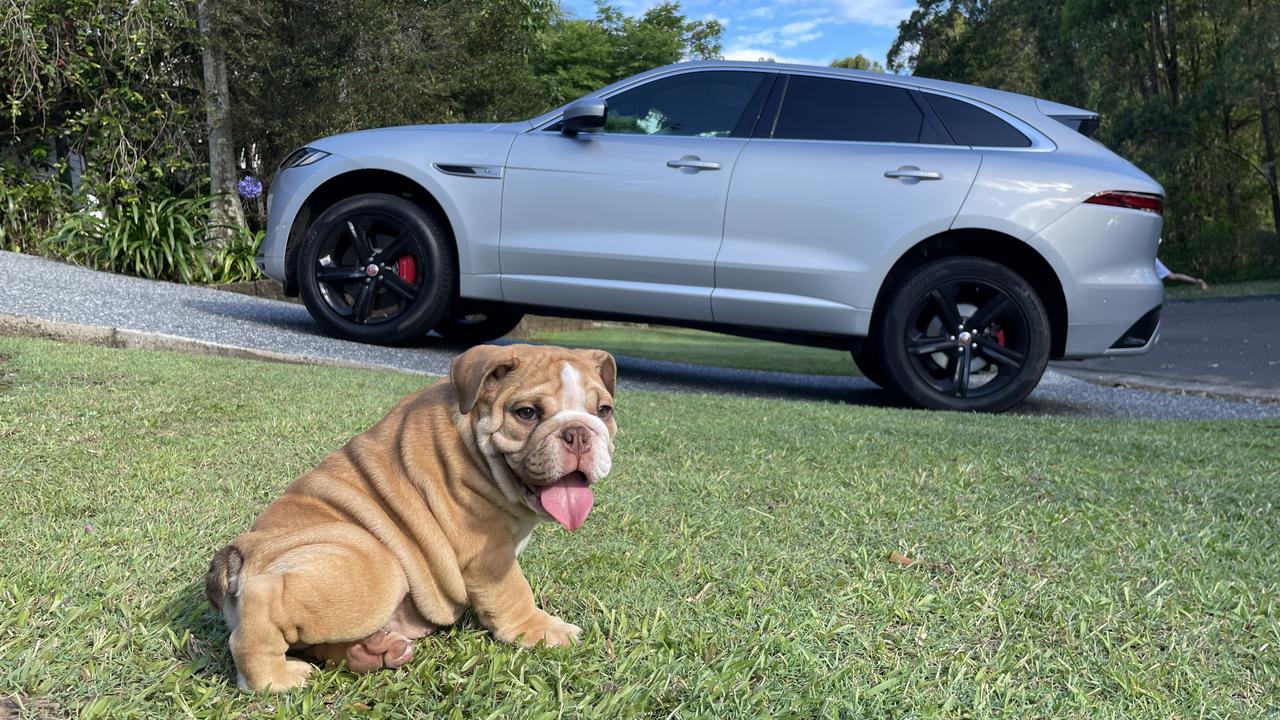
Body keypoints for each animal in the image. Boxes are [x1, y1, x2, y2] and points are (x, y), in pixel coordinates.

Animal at [203, 340, 614, 691]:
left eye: (604, 411)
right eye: (527, 413)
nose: (578, 432)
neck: (473, 440)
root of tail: (238, 553)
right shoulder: (489, 553)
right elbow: (513, 592)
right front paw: (544, 630)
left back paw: (372, 652)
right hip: (374, 562)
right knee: (266, 599)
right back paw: (274, 678)